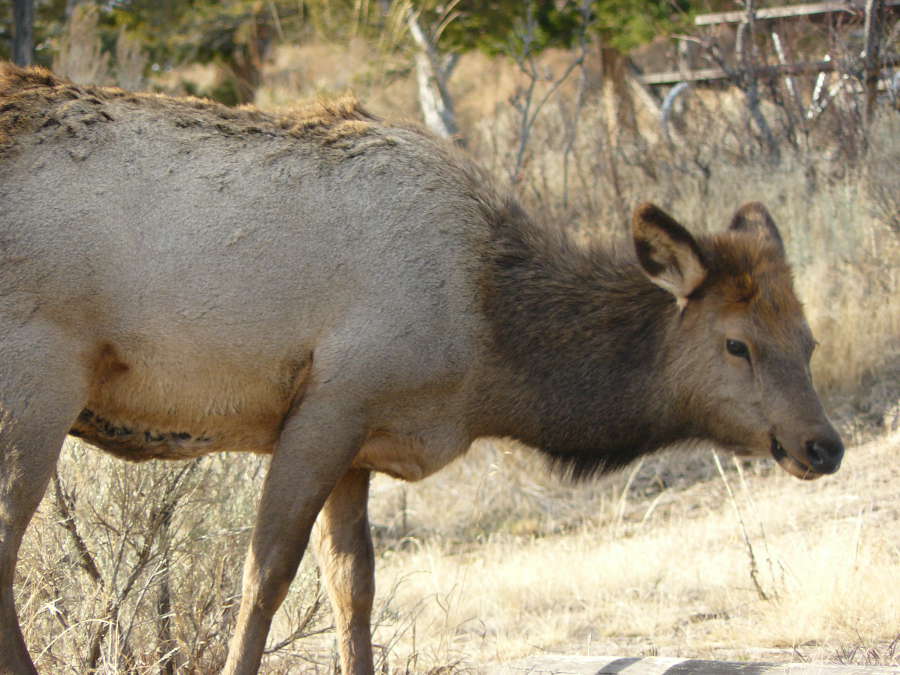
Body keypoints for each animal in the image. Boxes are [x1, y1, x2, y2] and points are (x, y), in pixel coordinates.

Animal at [1, 64, 844, 675]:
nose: (824, 443)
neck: (488, 350)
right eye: (737, 343)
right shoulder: (331, 403)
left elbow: (353, 590)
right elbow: (265, 578)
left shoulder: (358, 441)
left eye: (807, 340)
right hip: (36, 383)